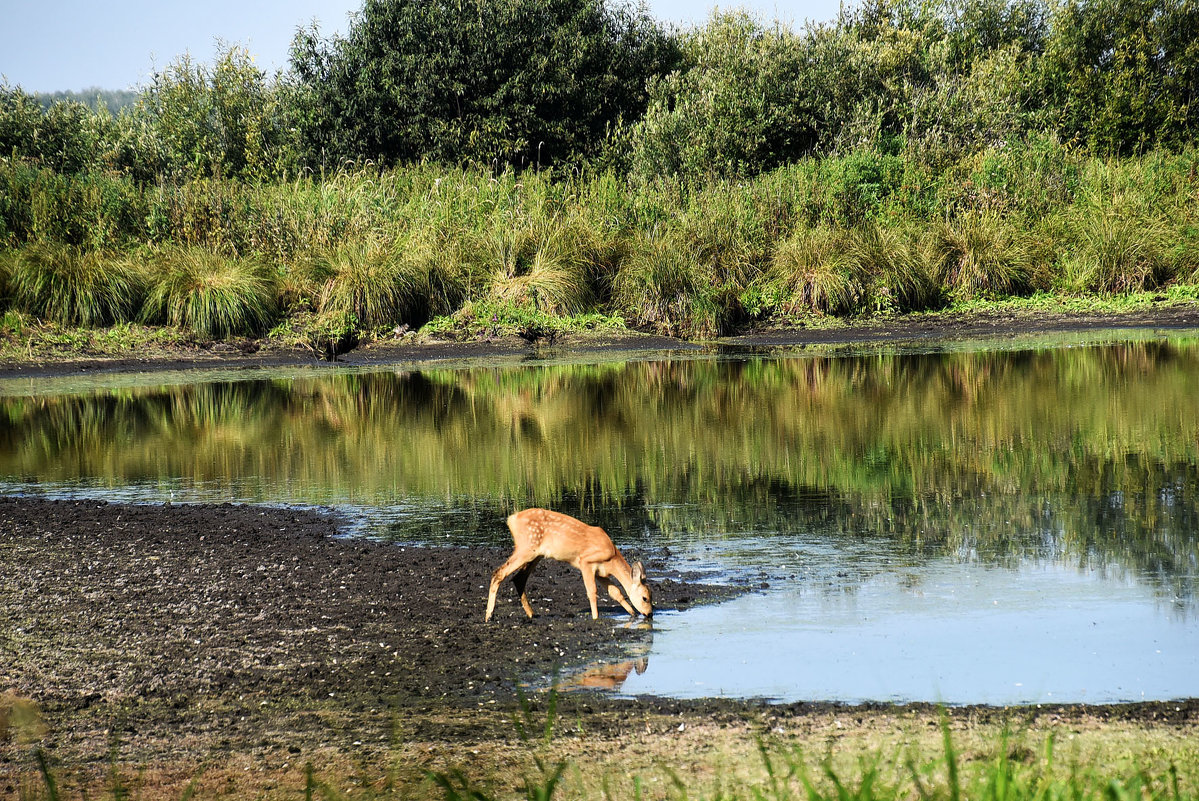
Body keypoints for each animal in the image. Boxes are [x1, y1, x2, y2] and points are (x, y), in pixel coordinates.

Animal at [481, 510, 657, 623]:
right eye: (645, 597)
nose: (649, 614)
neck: (612, 556)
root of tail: (511, 519)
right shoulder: (586, 562)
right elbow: (592, 592)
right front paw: (595, 618)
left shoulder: (600, 572)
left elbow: (616, 592)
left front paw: (632, 613)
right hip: (526, 547)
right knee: (499, 572)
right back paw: (489, 616)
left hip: (535, 554)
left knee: (519, 579)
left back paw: (532, 614)